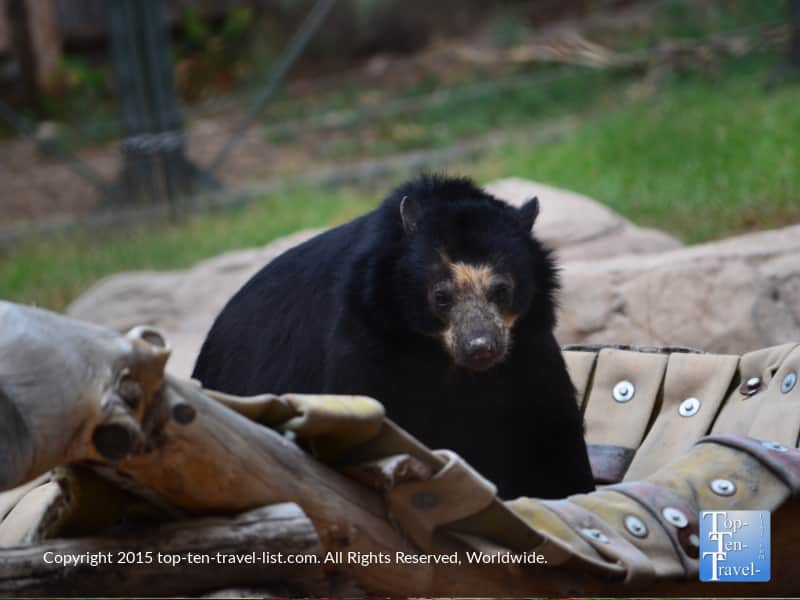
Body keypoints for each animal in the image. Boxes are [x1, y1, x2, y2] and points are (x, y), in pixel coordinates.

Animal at [192, 175, 595, 500]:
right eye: (441, 296)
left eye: (502, 289)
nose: (480, 347)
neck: (444, 358)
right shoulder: (367, 338)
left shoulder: (527, 347)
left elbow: (549, 428)